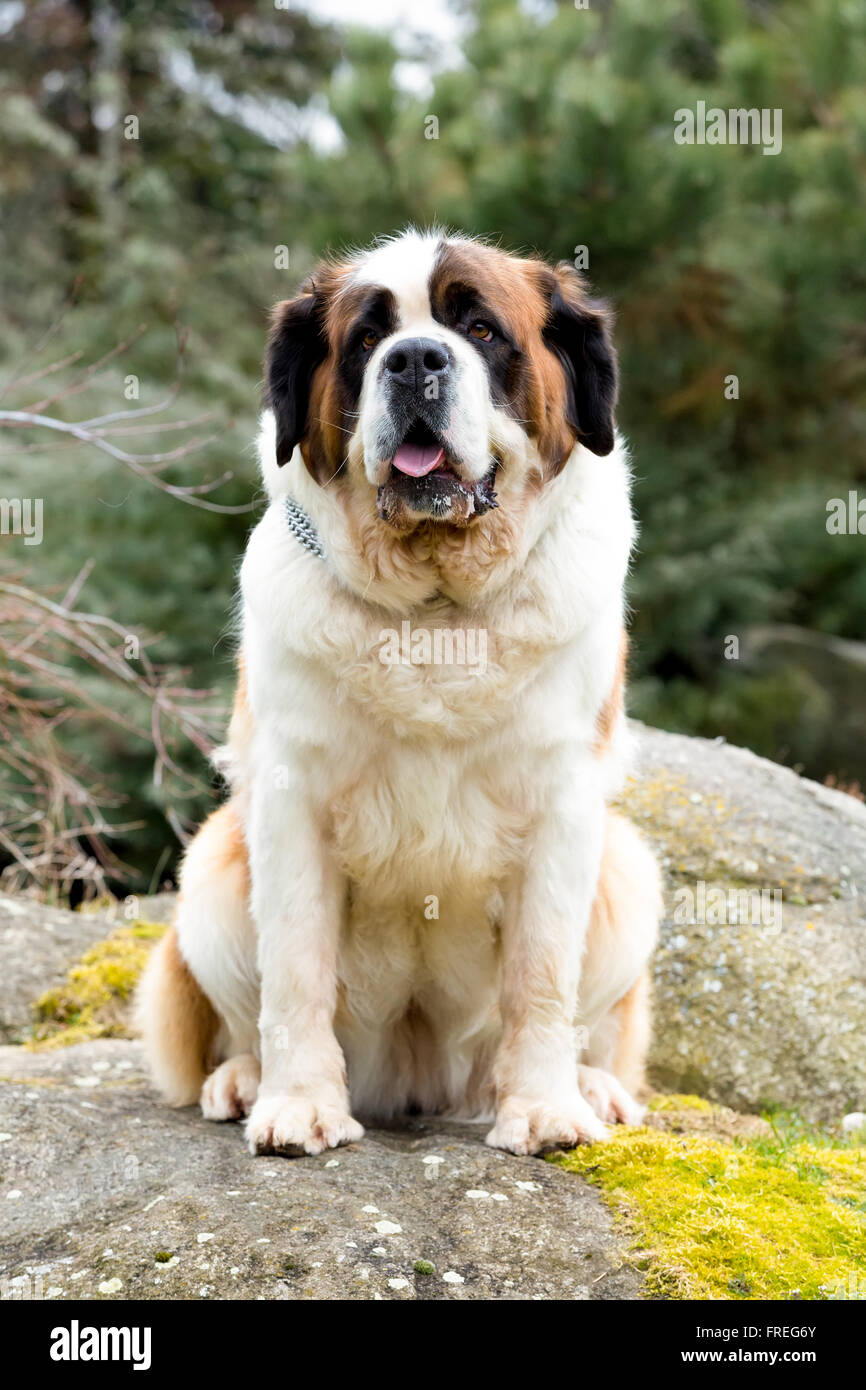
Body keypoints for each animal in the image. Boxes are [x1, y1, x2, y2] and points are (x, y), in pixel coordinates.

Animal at [139, 230, 661, 1162]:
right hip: (211, 872)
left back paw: (594, 1088)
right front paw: (299, 1106)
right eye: (366, 340)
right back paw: (243, 1080)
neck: (436, 610)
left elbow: (541, 974)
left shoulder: (565, 806)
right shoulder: (289, 804)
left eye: (482, 330)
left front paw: (544, 1110)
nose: (415, 359)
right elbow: (296, 970)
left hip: (629, 869)